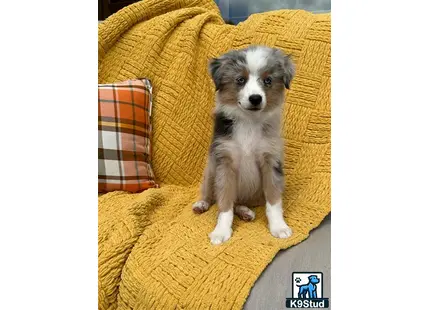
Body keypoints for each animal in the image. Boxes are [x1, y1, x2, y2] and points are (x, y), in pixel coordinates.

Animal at [192, 45, 296, 245]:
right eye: (240, 80)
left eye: (268, 80)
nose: (255, 98)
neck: (249, 122)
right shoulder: (225, 162)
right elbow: (224, 203)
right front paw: (221, 231)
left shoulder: (271, 160)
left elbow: (274, 201)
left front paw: (279, 227)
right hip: (210, 169)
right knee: (211, 195)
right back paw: (202, 204)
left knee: (238, 202)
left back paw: (246, 212)